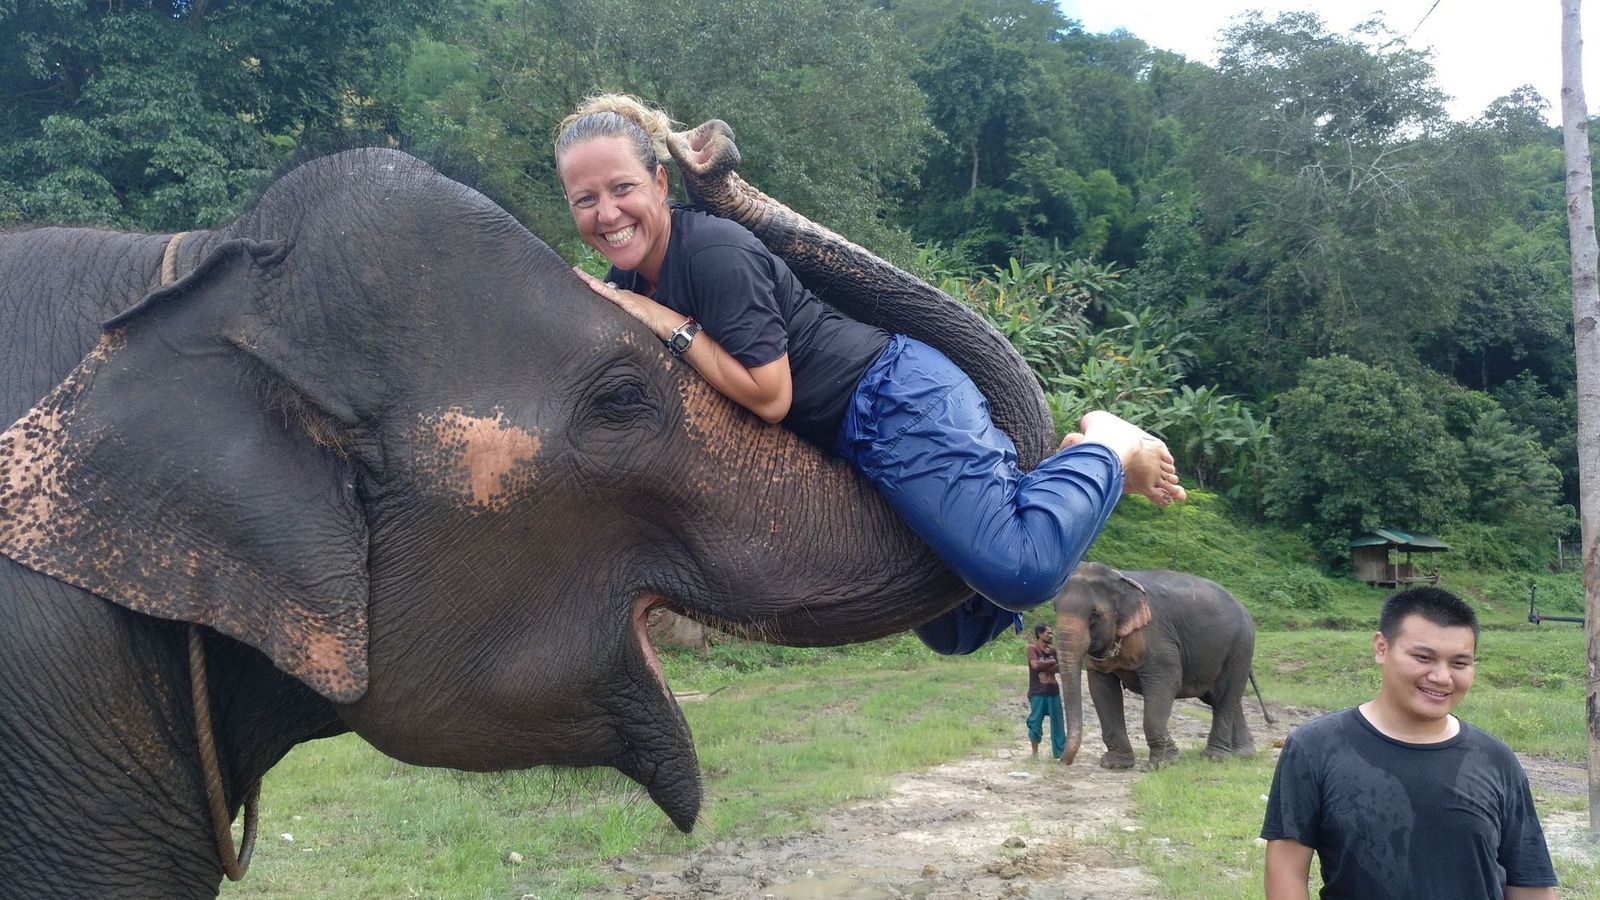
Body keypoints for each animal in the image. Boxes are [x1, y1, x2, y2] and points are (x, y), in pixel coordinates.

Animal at [1054, 563, 1258, 769]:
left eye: (1094, 614)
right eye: (1055, 608)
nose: (1062, 761)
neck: (1119, 580)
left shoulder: (1158, 636)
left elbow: (1167, 681)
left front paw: (1162, 763)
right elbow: (1102, 689)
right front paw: (1116, 764)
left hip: (1241, 646)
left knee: (1226, 694)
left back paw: (1214, 757)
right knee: (1220, 697)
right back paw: (1243, 754)